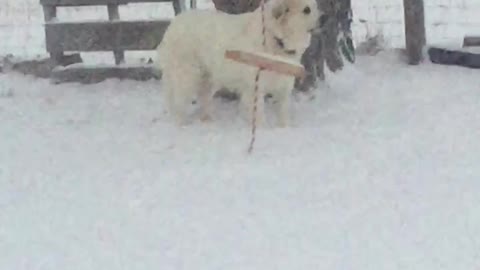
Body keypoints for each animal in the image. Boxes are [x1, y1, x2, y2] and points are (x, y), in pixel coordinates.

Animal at [158, 0, 320, 126]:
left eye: (315, 6)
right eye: (306, 10)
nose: (324, 18)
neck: (274, 38)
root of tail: (174, 23)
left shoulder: (283, 86)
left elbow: (283, 112)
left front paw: (284, 129)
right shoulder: (255, 88)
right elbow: (259, 116)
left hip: (209, 78)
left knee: (203, 98)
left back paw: (207, 119)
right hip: (187, 76)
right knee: (179, 101)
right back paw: (181, 124)